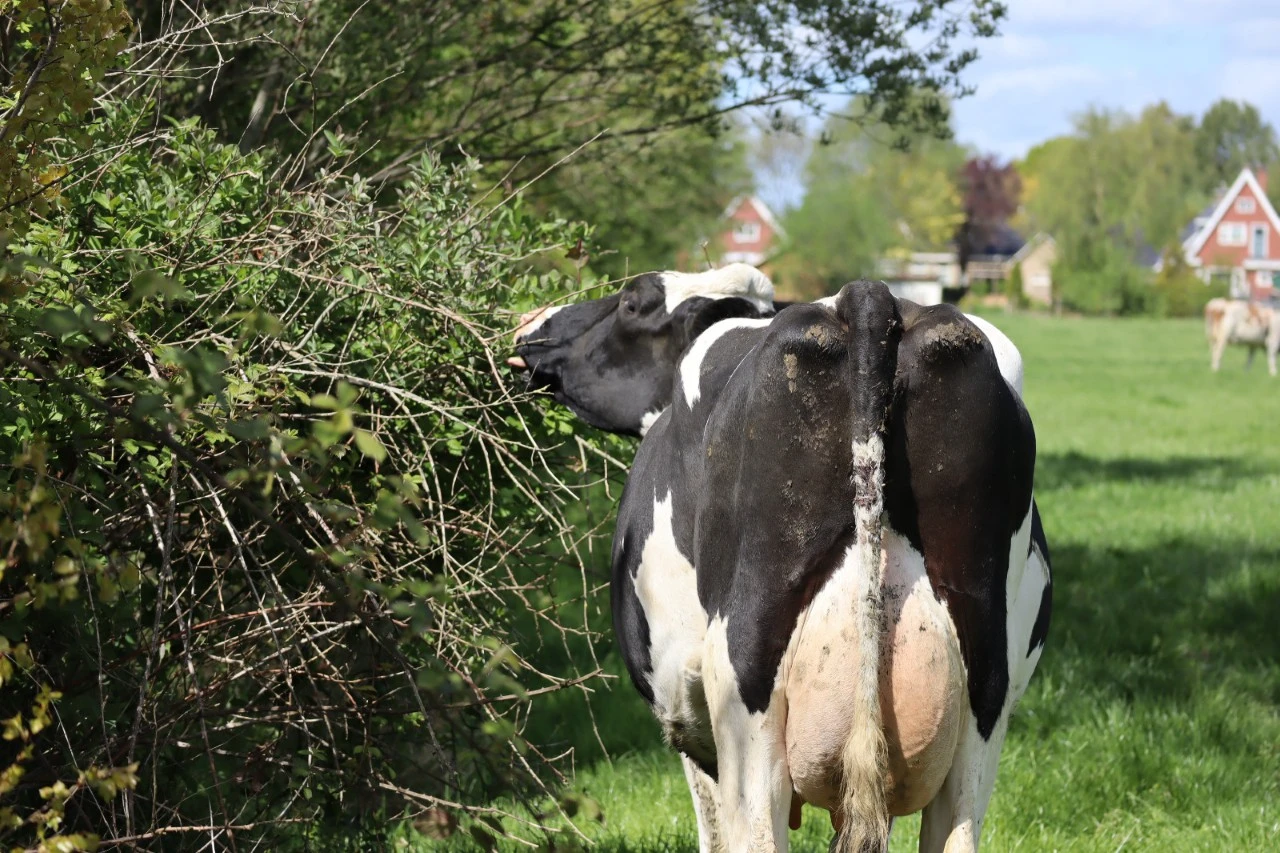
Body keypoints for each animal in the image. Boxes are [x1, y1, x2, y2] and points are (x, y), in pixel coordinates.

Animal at [509, 264, 1052, 852]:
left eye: (632, 301)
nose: (529, 323)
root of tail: (869, 297)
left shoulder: (684, 705)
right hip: (984, 687)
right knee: (957, 825)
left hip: (746, 674)